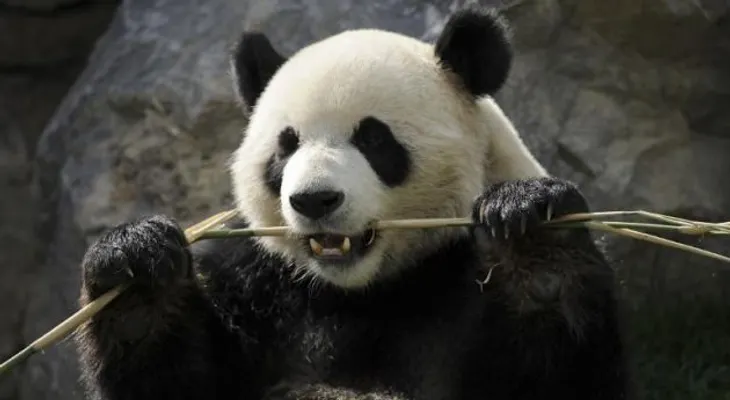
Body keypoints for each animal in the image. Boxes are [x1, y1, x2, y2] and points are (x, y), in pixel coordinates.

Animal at [75, 5, 629, 400]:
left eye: (374, 139)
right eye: (286, 146)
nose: (314, 200)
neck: (363, 291)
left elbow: (567, 376)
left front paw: (531, 229)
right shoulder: (257, 287)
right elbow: (176, 381)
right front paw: (135, 263)